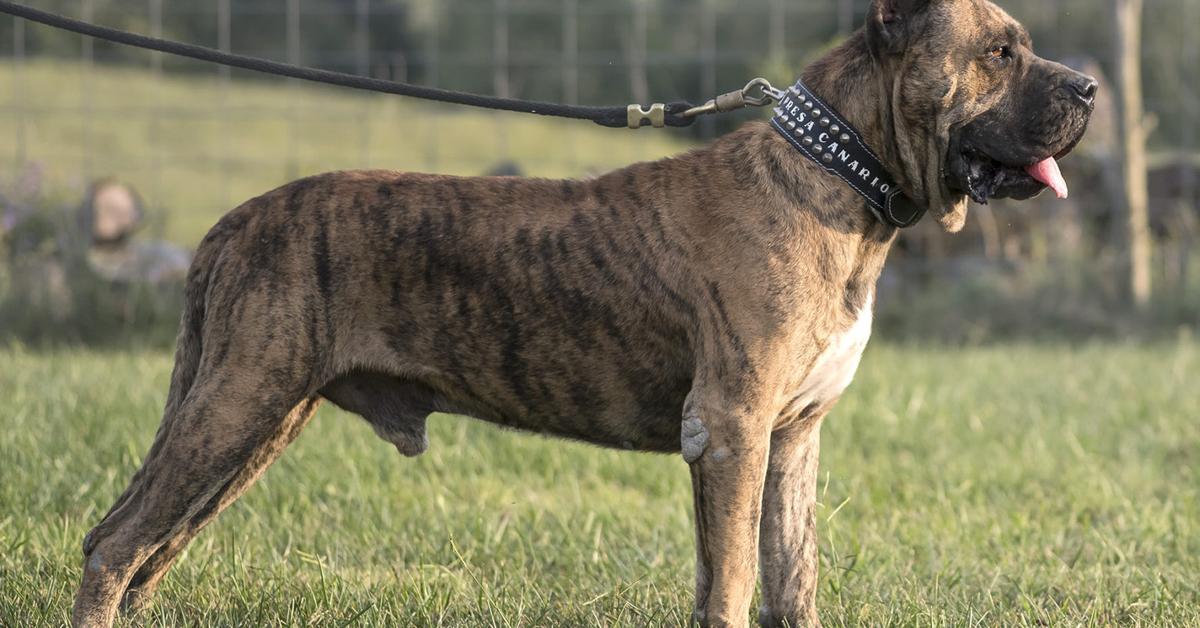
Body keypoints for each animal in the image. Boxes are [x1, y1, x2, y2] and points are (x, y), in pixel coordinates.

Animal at [70, 0, 1094, 624]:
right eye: (1000, 52)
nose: (1088, 87)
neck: (839, 180)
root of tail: (230, 225)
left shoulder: (793, 437)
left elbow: (789, 580)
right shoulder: (731, 430)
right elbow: (729, 583)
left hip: (257, 420)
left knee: (151, 550)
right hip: (237, 401)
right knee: (116, 543)